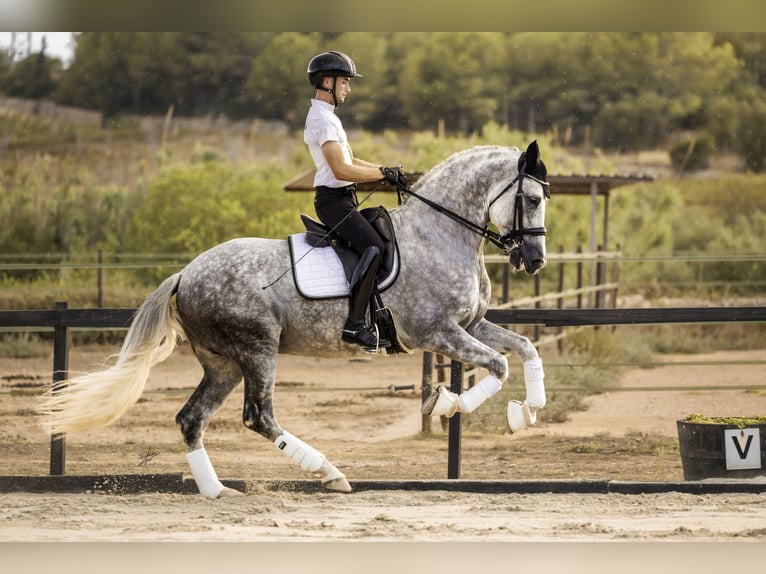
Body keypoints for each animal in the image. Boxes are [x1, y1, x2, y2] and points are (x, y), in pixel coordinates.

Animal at [42, 141, 552, 500]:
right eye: (530, 199)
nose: (534, 260)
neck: (440, 233)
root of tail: (185, 275)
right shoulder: (437, 331)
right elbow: (498, 366)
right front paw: (447, 404)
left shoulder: (472, 324)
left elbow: (526, 349)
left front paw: (526, 410)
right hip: (257, 349)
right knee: (259, 416)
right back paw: (329, 472)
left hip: (223, 363)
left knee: (191, 418)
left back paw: (217, 491)